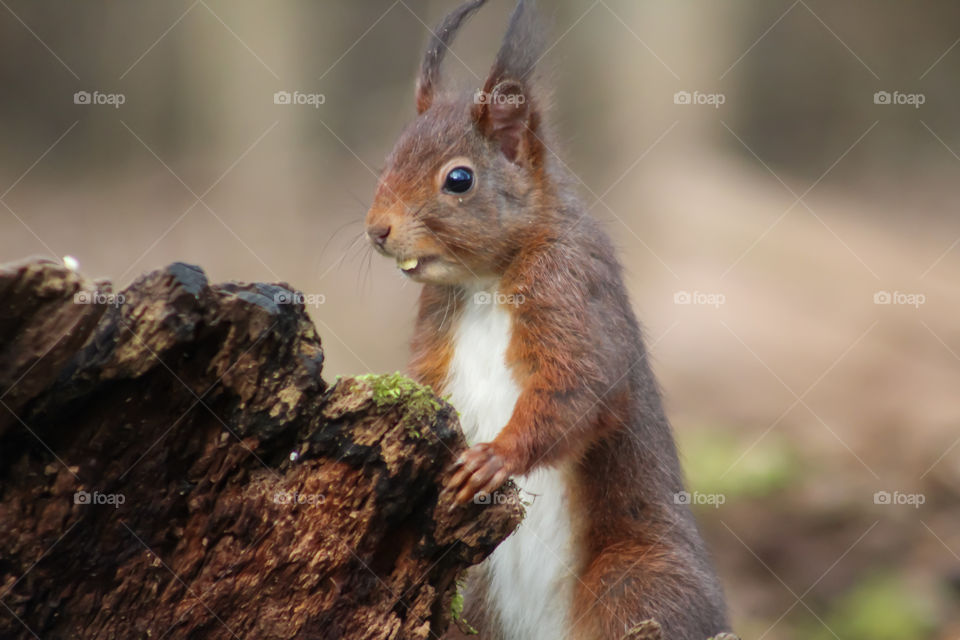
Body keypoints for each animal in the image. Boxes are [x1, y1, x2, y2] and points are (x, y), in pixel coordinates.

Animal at [364, 1, 732, 640]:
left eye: (459, 179)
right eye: (391, 157)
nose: (377, 230)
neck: (485, 282)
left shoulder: (571, 292)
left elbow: (580, 386)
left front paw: (495, 458)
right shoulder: (436, 328)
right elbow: (428, 387)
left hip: (635, 583)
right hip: (476, 599)